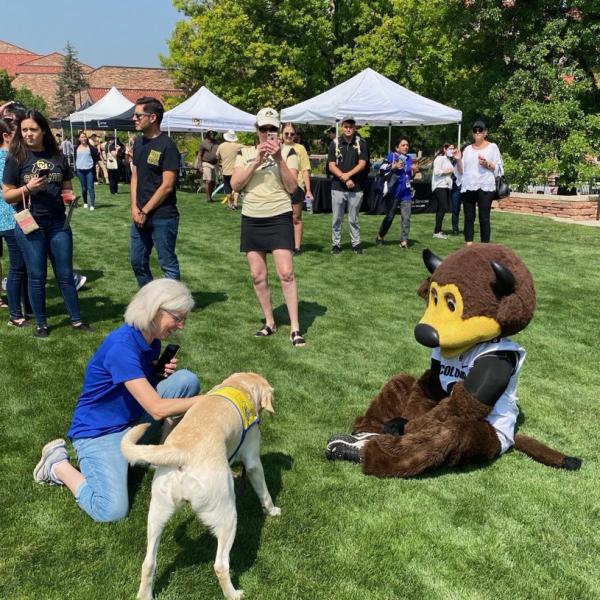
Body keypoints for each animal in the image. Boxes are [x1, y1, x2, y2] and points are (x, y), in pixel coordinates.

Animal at [122, 372, 284, 596]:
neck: (239, 385)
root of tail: (182, 450)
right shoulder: (252, 461)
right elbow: (265, 491)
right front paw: (272, 510)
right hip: (228, 517)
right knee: (220, 565)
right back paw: (234, 594)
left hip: (156, 514)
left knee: (148, 564)